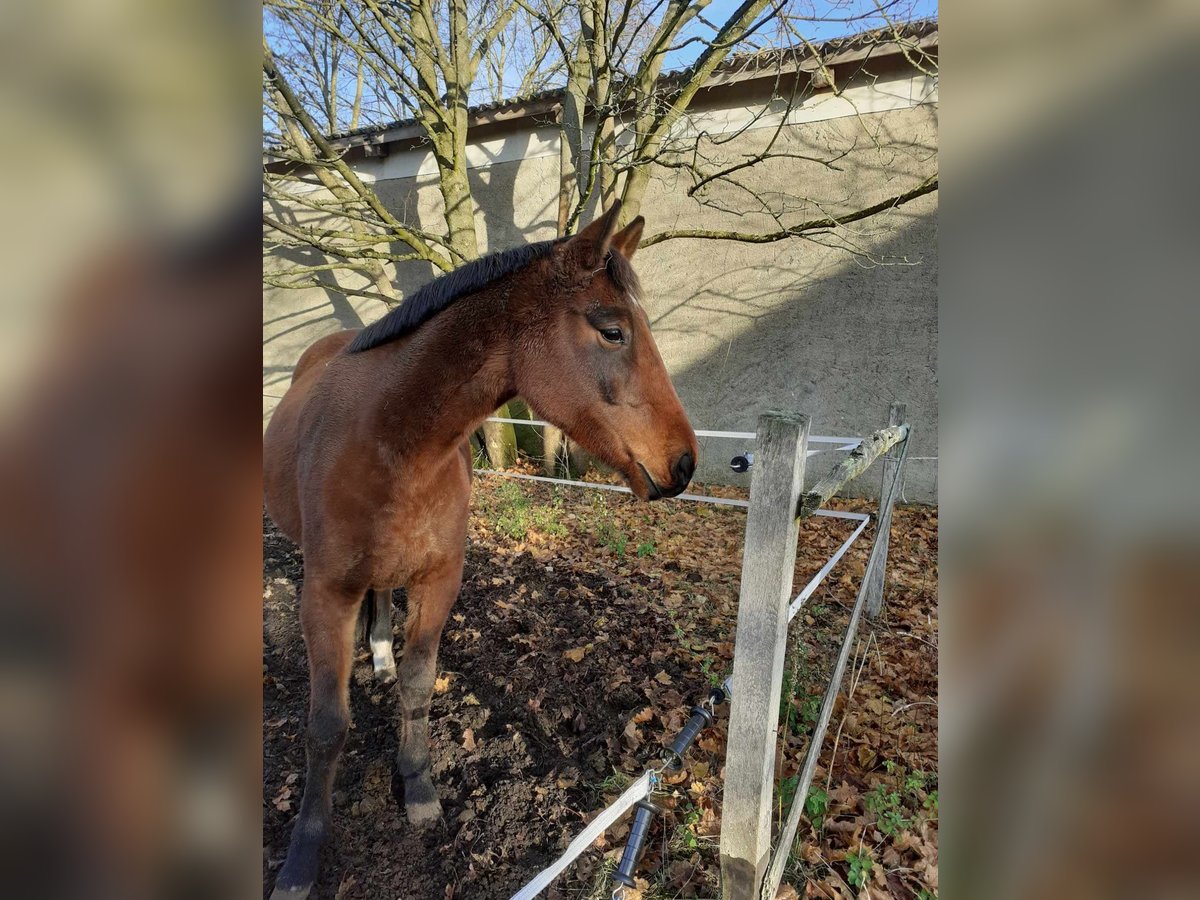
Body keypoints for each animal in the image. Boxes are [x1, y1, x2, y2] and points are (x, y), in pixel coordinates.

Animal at [262, 204, 696, 900]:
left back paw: (377, 655)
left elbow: (418, 685)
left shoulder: (440, 580)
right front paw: (301, 861)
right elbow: (327, 726)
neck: (391, 441)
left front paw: (417, 789)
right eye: (612, 331)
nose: (684, 464)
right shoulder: (324, 595)